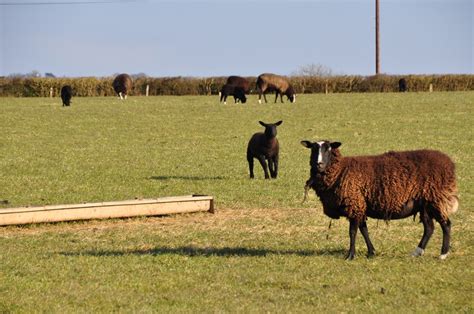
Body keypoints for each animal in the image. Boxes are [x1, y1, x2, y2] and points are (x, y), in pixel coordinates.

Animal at [300, 141, 460, 262]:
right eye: (313, 149)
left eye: (328, 149)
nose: (319, 164)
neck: (340, 170)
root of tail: (450, 164)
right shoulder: (360, 205)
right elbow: (364, 230)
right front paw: (371, 252)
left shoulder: (354, 203)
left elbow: (352, 232)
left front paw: (350, 255)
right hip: (424, 204)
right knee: (429, 228)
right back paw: (417, 252)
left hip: (436, 199)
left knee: (446, 225)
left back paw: (443, 254)